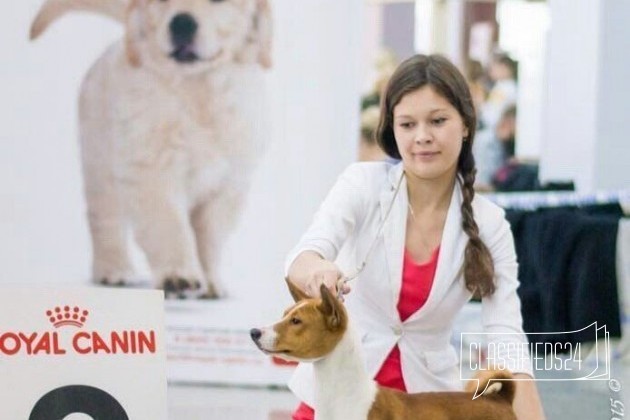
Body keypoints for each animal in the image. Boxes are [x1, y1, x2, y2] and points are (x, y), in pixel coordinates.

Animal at [29, 0, 272, 298]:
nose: (182, 23)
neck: (196, 90)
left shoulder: (228, 184)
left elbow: (209, 237)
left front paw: (211, 281)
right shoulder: (151, 173)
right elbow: (169, 226)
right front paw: (178, 275)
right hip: (100, 164)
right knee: (105, 220)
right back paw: (114, 269)